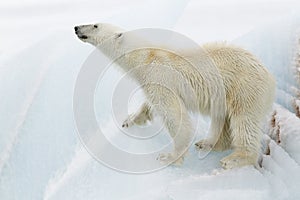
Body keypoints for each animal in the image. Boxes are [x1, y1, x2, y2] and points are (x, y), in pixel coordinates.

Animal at [75, 22, 276, 169]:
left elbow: (174, 116)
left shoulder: (159, 78)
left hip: (245, 89)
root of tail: (270, 77)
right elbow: (149, 104)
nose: (76, 27)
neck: (147, 57)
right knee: (223, 119)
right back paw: (208, 143)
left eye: (95, 25)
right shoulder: (151, 81)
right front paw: (130, 119)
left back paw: (234, 158)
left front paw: (168, 157)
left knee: (244, 122)